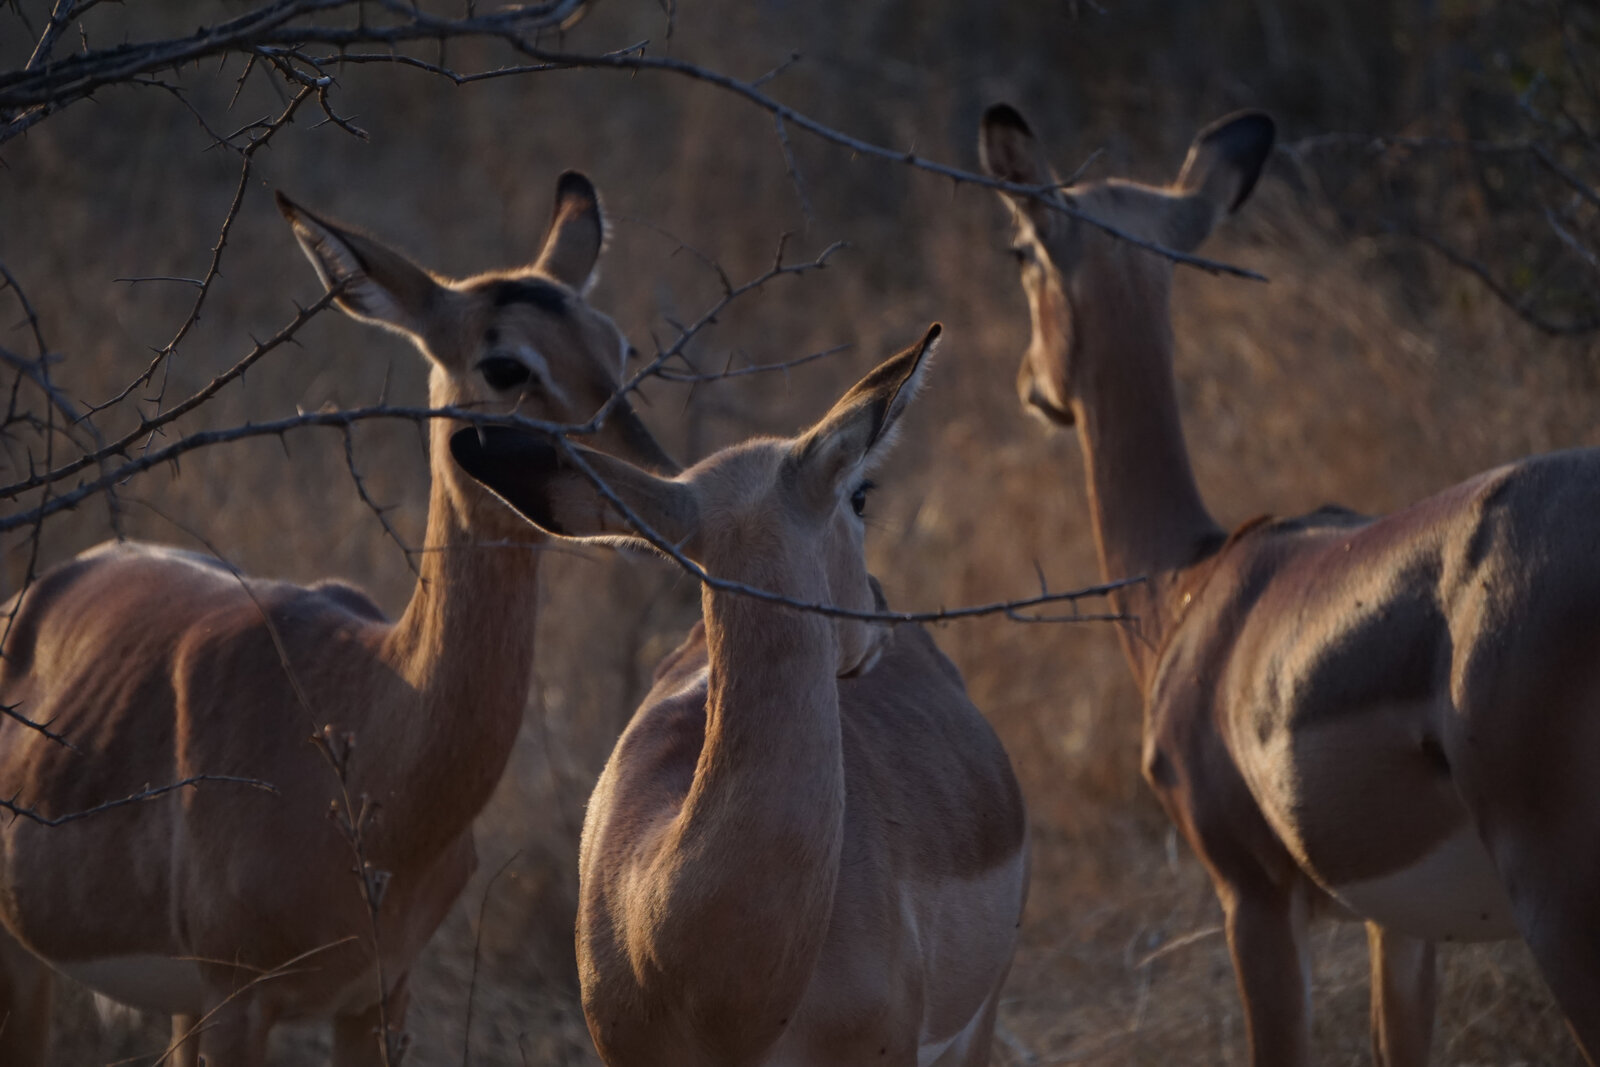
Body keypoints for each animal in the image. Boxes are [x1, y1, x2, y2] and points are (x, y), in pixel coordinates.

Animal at [0, 173, 675, 1064]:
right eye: (504, 365)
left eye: (618, 348)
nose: (655, 486)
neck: (373, 705)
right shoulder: (240, 1000)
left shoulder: (378, 997)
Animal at [981, 102, 1600, 1066]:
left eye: (1020, 249)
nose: (1029, 384)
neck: (1185, 584)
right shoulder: (1401, 926)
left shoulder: (1254, 894)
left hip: (1560, 894)